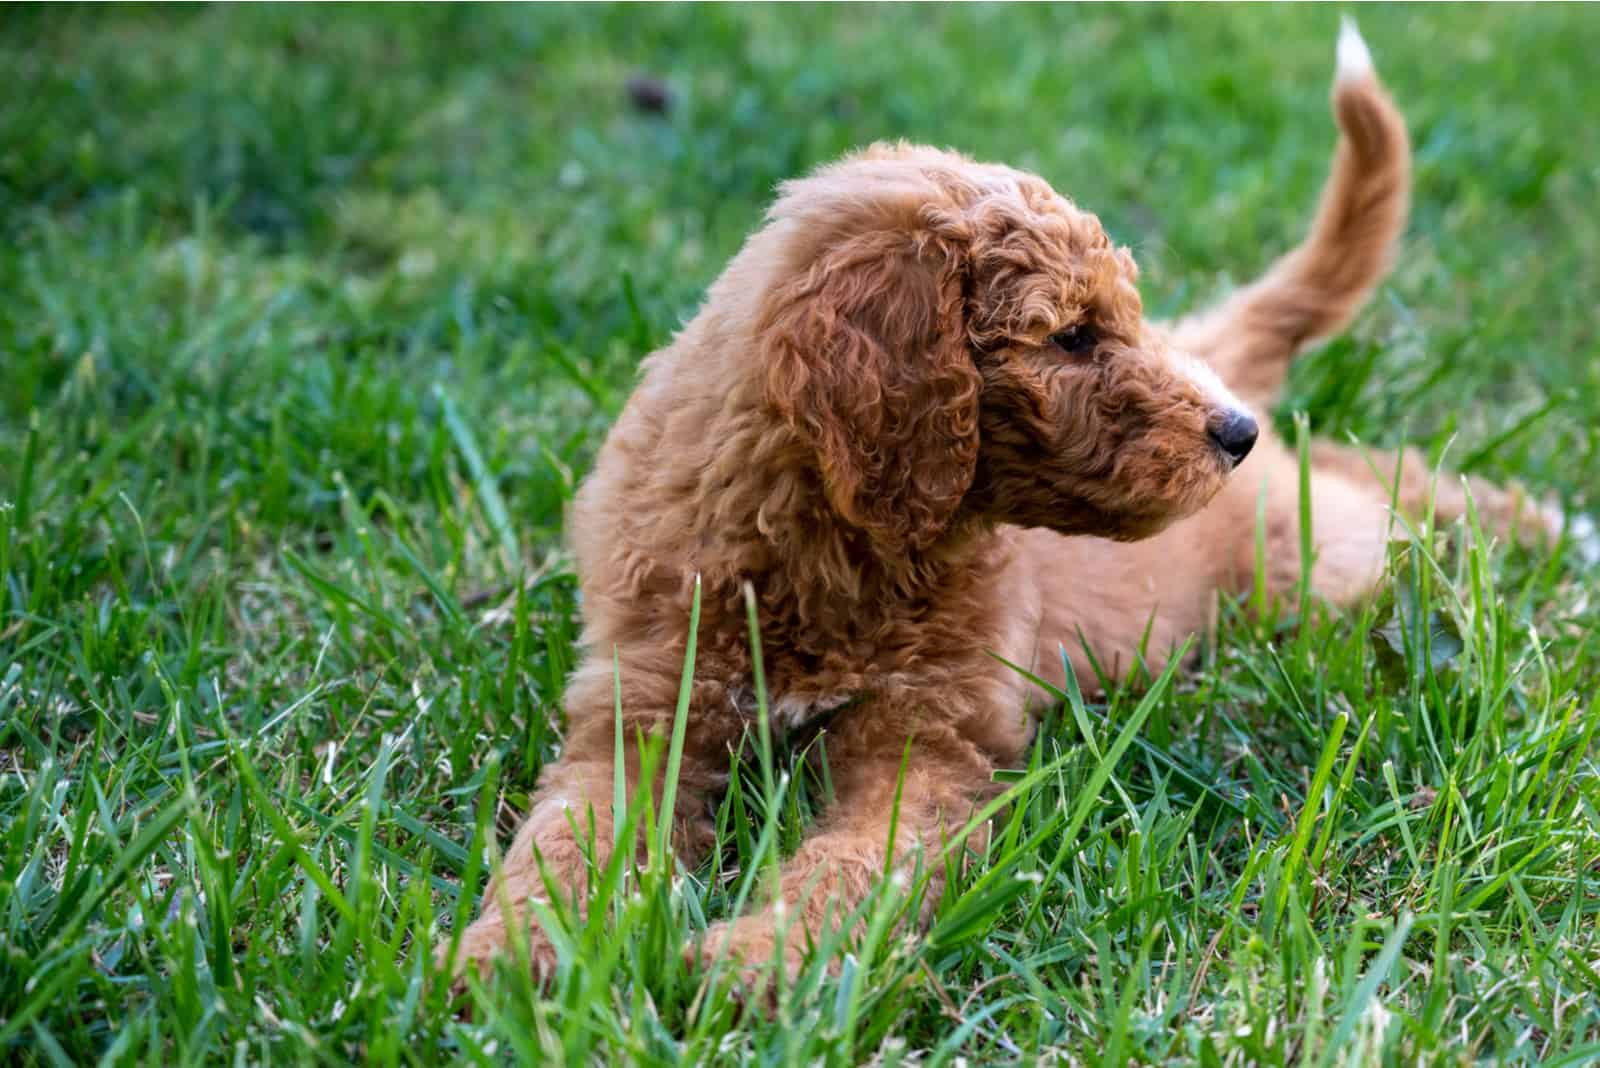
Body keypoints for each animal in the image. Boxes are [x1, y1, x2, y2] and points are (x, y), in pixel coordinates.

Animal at [444, 20, 1568, 991]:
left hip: (1311, 568)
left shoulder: (928, 745)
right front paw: (504, 960)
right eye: (1070, 335)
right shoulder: (639, 713)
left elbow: (853, 868)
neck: (824, 543)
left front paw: (763, 962)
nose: (1229, 434)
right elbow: (566, 842)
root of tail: (1214, 358)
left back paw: (1531, 524)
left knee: (1367, 490)